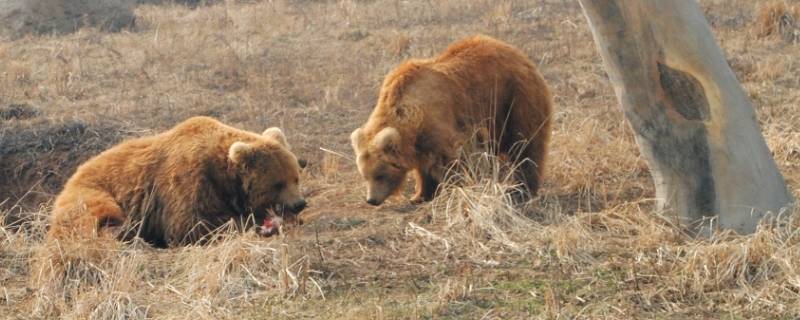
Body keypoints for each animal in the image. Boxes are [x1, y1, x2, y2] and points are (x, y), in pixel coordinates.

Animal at [49, 115, 306, 248]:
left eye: (295, 177)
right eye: (277, 183)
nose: (299, 204)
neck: (224, 177)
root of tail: (67, 180)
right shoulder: (188, 180)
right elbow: (191, 225)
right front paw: (250, 224)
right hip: (90, 191)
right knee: (95, 214)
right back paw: (123, 234)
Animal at [350, 35, 552, 205]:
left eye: (380, 174)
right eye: (364, 175)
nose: (371, 200)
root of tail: (518, 54)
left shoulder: (441, 124)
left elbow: (452, 161)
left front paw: (458, 190)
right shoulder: (419, 141)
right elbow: (423, 168)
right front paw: (420, 196)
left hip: (513, 99)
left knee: (526, 144)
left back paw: (523, 190)